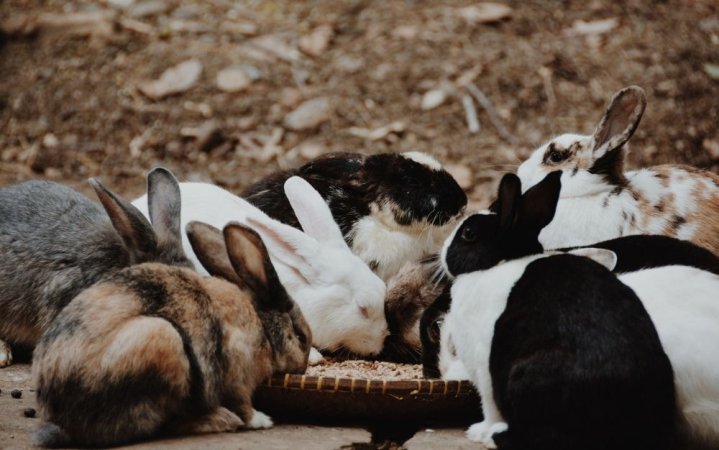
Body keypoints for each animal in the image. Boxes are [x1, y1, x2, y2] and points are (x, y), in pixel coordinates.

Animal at [32, 223, 310, 448]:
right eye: (301, 337)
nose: (303, 366)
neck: (262, 326)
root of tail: (61, 418)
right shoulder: (238, 373)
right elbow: (243, 403)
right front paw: (262, 420)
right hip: (164, 344)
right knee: (162, 425)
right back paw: (221, 419)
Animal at [436, 171, 676, 448]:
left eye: (468, 233)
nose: (441, 251)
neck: (497, 262)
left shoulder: (483, 364)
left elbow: (489, 405)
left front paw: (478, 431)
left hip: (525, 381)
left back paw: (492, 435)